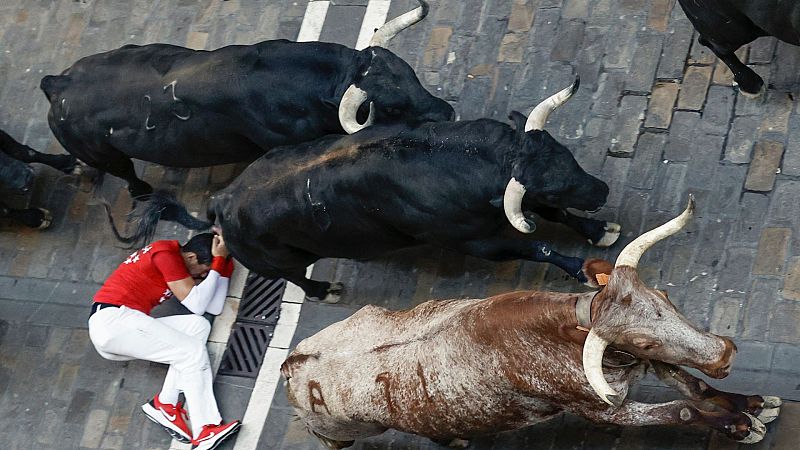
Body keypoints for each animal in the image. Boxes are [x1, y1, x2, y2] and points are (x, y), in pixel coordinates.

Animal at [40, 0, 454, 198]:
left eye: (412, 74)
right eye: (393, 106)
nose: (447, 113)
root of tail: (57, 83)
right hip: (108, 157)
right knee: (126, 176)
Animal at [117, 79, 620, 300]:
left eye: (566, 155)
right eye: (552, 186)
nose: (602, 190)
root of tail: (221, 202)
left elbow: (558, 221)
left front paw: (600, 230)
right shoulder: (478, 242)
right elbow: (539, 247)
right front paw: (581, 269)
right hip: (277, 262)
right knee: (295, 277)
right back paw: (325, 291)